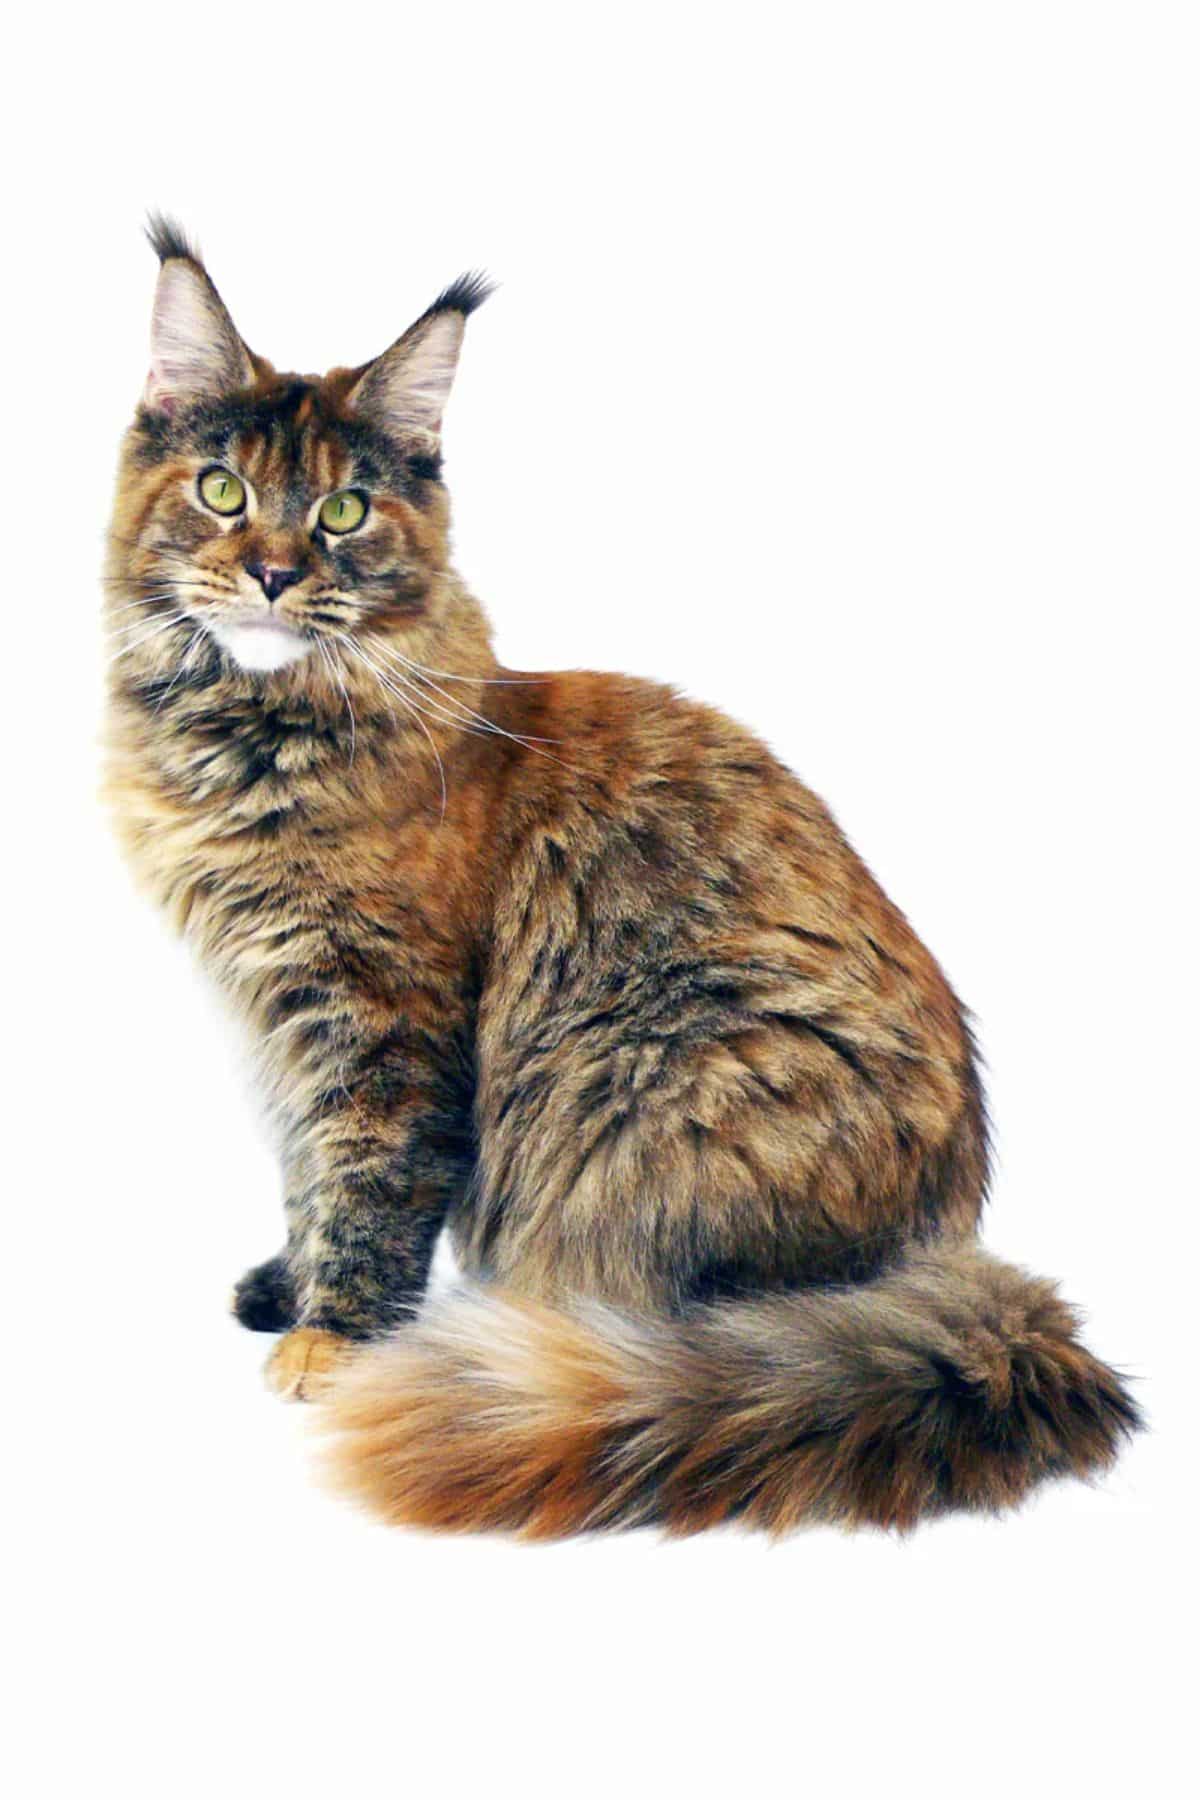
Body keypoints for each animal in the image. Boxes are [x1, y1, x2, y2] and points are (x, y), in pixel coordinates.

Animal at [103, 210, 1137, 1533]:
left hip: (657, 1077)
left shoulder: (382, 1018)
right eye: (222, 491)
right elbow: (304, 1170)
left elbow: (371, 1183)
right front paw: (290, 1287)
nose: (276, 573)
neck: (251, 742)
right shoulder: (271, 1015)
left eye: (342, 512)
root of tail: (938, 1262)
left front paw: (335, 1341)